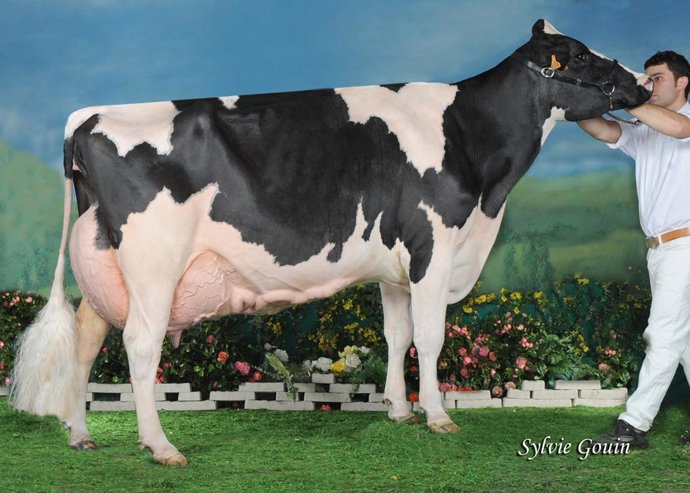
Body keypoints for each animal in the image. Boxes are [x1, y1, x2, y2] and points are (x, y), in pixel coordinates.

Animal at [10, 20, 650, 465]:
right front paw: (437, 415)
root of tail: (87, 116)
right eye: (582, 55)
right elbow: (431, 337)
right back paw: (160, 446)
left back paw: (81, 435)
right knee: (140, 346)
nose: (641, 84)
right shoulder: (434, 245)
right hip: (153, 265)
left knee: (87, 340)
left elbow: (397, 337)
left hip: (106, 265)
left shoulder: (396, 267)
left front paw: (398, 410)